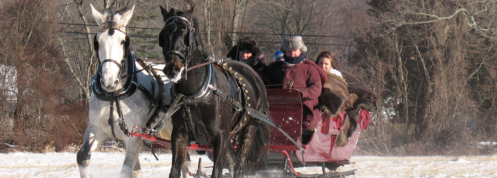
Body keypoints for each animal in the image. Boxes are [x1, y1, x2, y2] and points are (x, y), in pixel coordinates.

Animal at [76, 4, 172, 178]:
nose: (109, 81)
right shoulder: (95, 129)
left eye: (123, 42)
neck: (114, 95)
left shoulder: (134, 138)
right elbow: (82, 157)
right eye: (97, 41)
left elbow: (126, 170)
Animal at [158, 6, 268, 177]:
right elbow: (175, 170)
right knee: (232, 162)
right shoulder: (179, 135)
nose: (172, 69)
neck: (194, 93)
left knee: (239, 165)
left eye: (186, 33)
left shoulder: (220, 135)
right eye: (164, 34)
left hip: (250, 126)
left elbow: (217, 171)